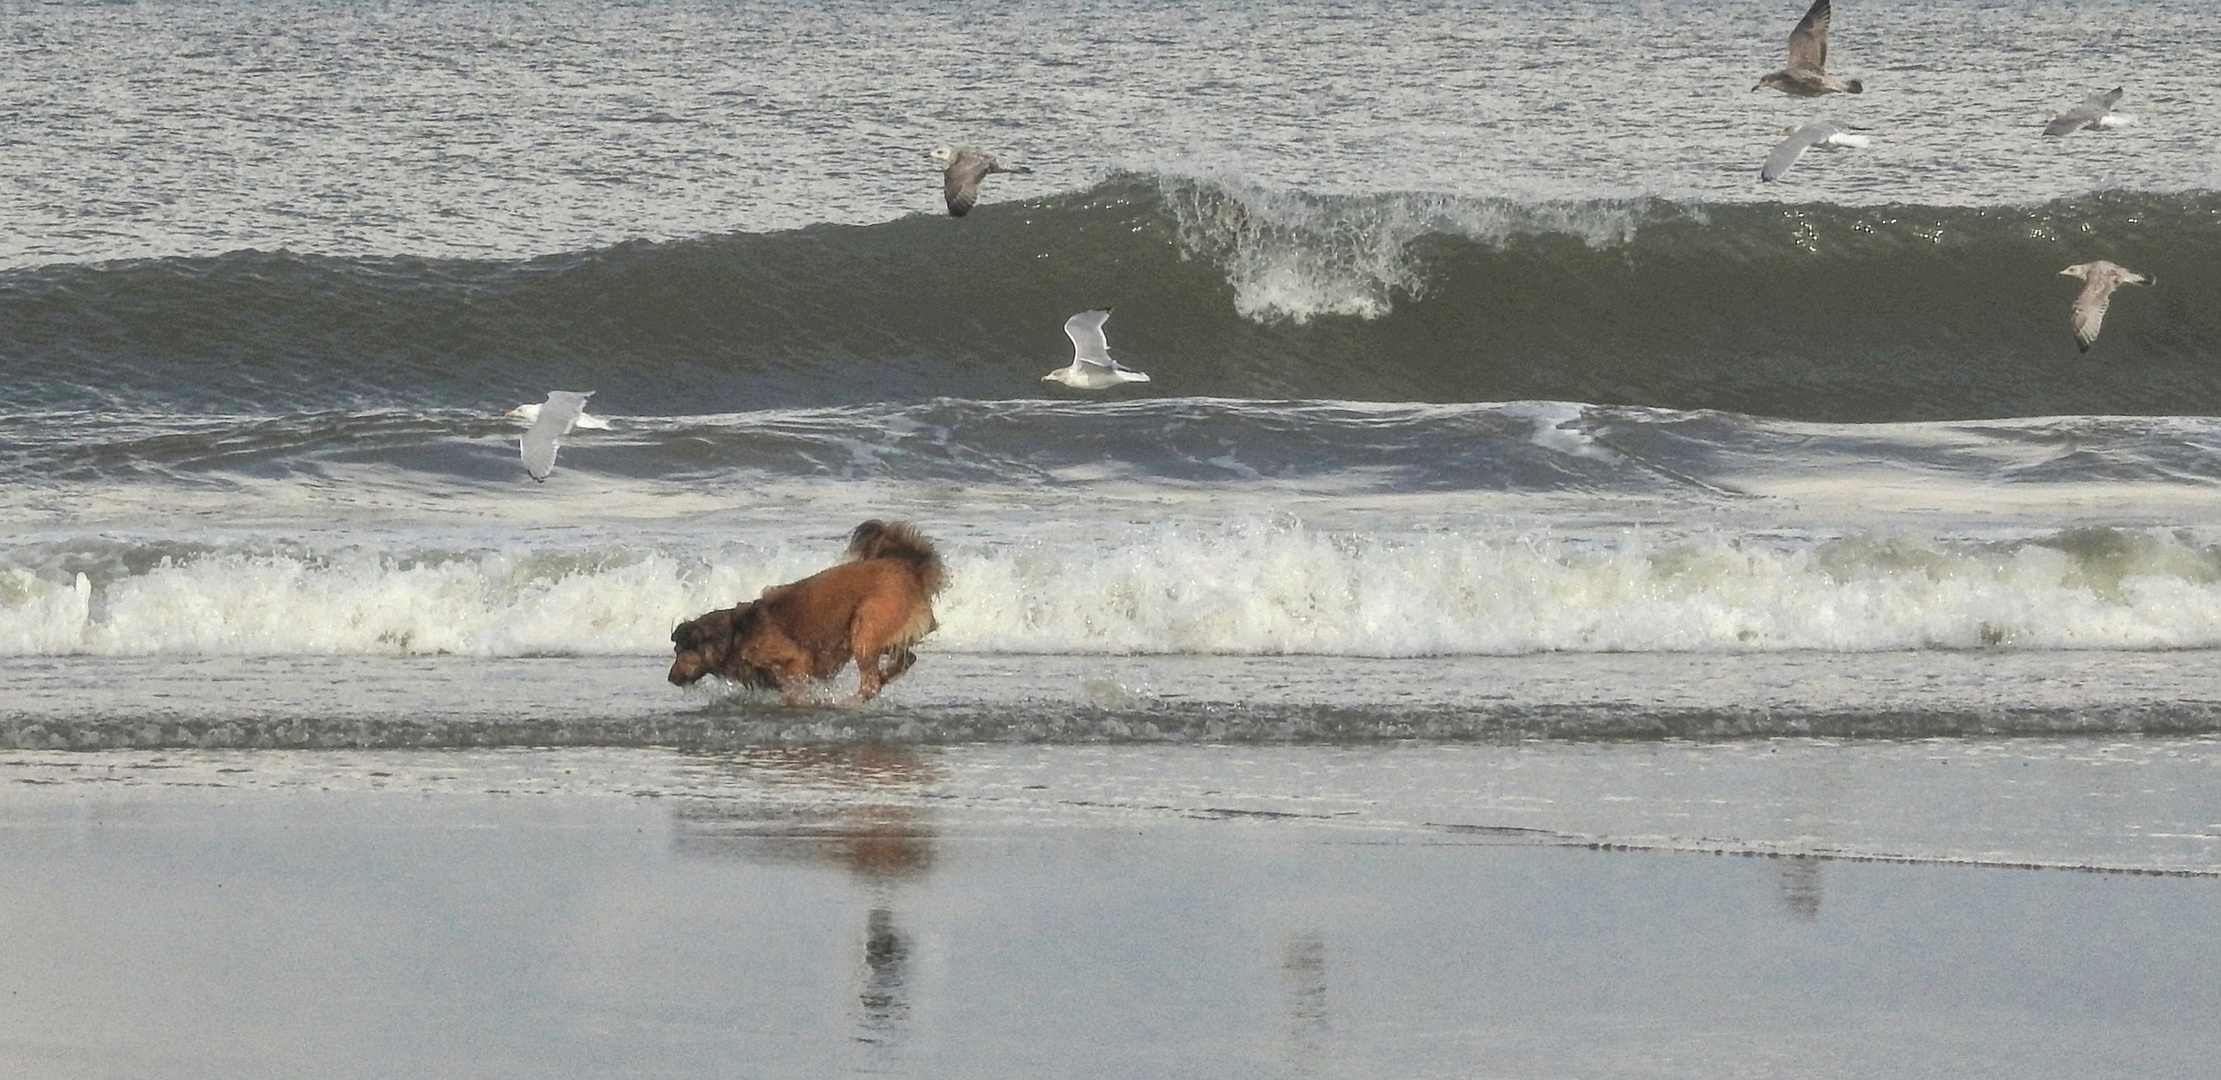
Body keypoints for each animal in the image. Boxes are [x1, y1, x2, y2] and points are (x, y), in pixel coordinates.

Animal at [657, 520, 937, 706]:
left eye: (680, 651)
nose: (669, 678)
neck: (735, 635)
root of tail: (907, 567)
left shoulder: (798, 661)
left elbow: (792, 690)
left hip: (866, 629)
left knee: (871, 682)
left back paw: (850, 700)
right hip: (871, 634)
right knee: (905, 660)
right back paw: (882, 678)